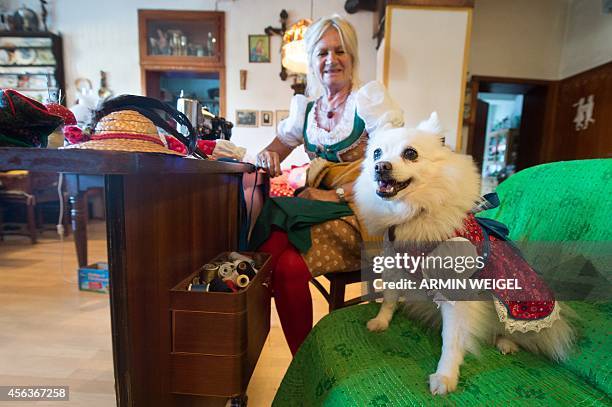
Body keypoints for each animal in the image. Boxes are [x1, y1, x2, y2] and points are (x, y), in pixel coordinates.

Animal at [354, 114, 572, 396]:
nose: (380, 167)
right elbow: (389, 300)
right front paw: (381, 321)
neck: (416, 213)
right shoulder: (394, 266)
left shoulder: (456, 292)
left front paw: (445, 377)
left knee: (514, 332)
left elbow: (452, 339)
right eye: (376, 153)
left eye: (411, 154)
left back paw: (506, 342)